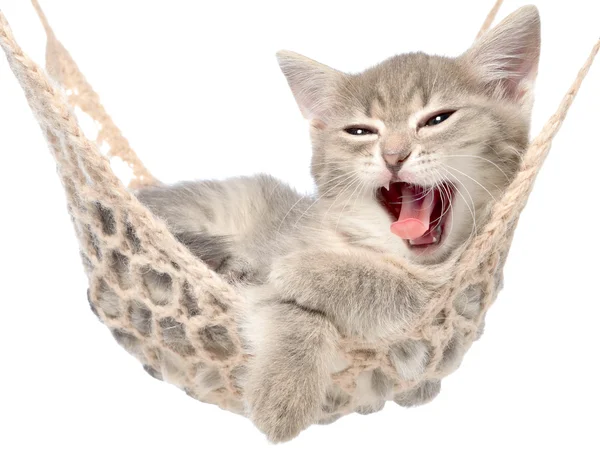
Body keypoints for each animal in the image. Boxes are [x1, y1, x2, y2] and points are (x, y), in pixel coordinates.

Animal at [135, 6, 540, 442]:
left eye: (438, 119)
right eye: (360, 131)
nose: (394, 155)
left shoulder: (459, 287)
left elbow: (409, 291)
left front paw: (310, 271)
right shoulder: (265, 264)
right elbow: (293, 309)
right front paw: (284, 389)